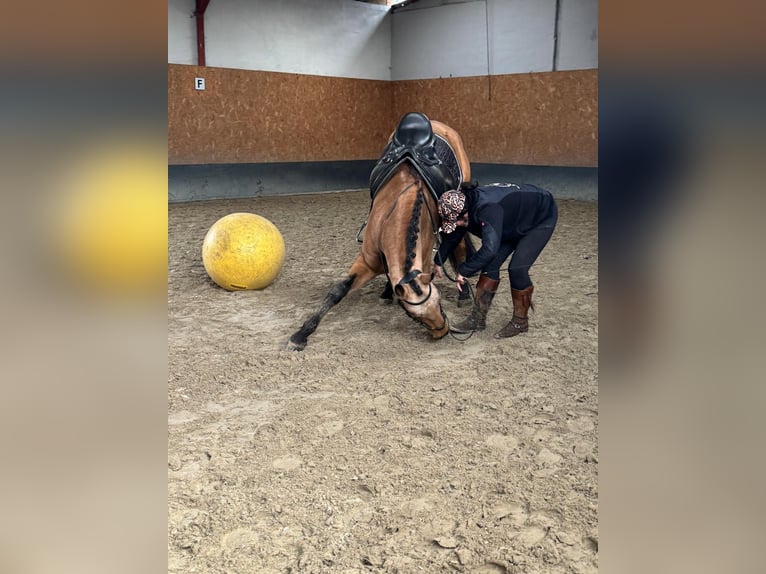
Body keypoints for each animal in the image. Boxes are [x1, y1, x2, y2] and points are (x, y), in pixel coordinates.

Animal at [287, 112, 471, 351]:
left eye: (439, 302)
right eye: (413, 315)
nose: (442, 331)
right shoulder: (367, 261)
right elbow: (338, 291)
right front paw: (301, 334)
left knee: (460, 249)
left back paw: (465, 294)